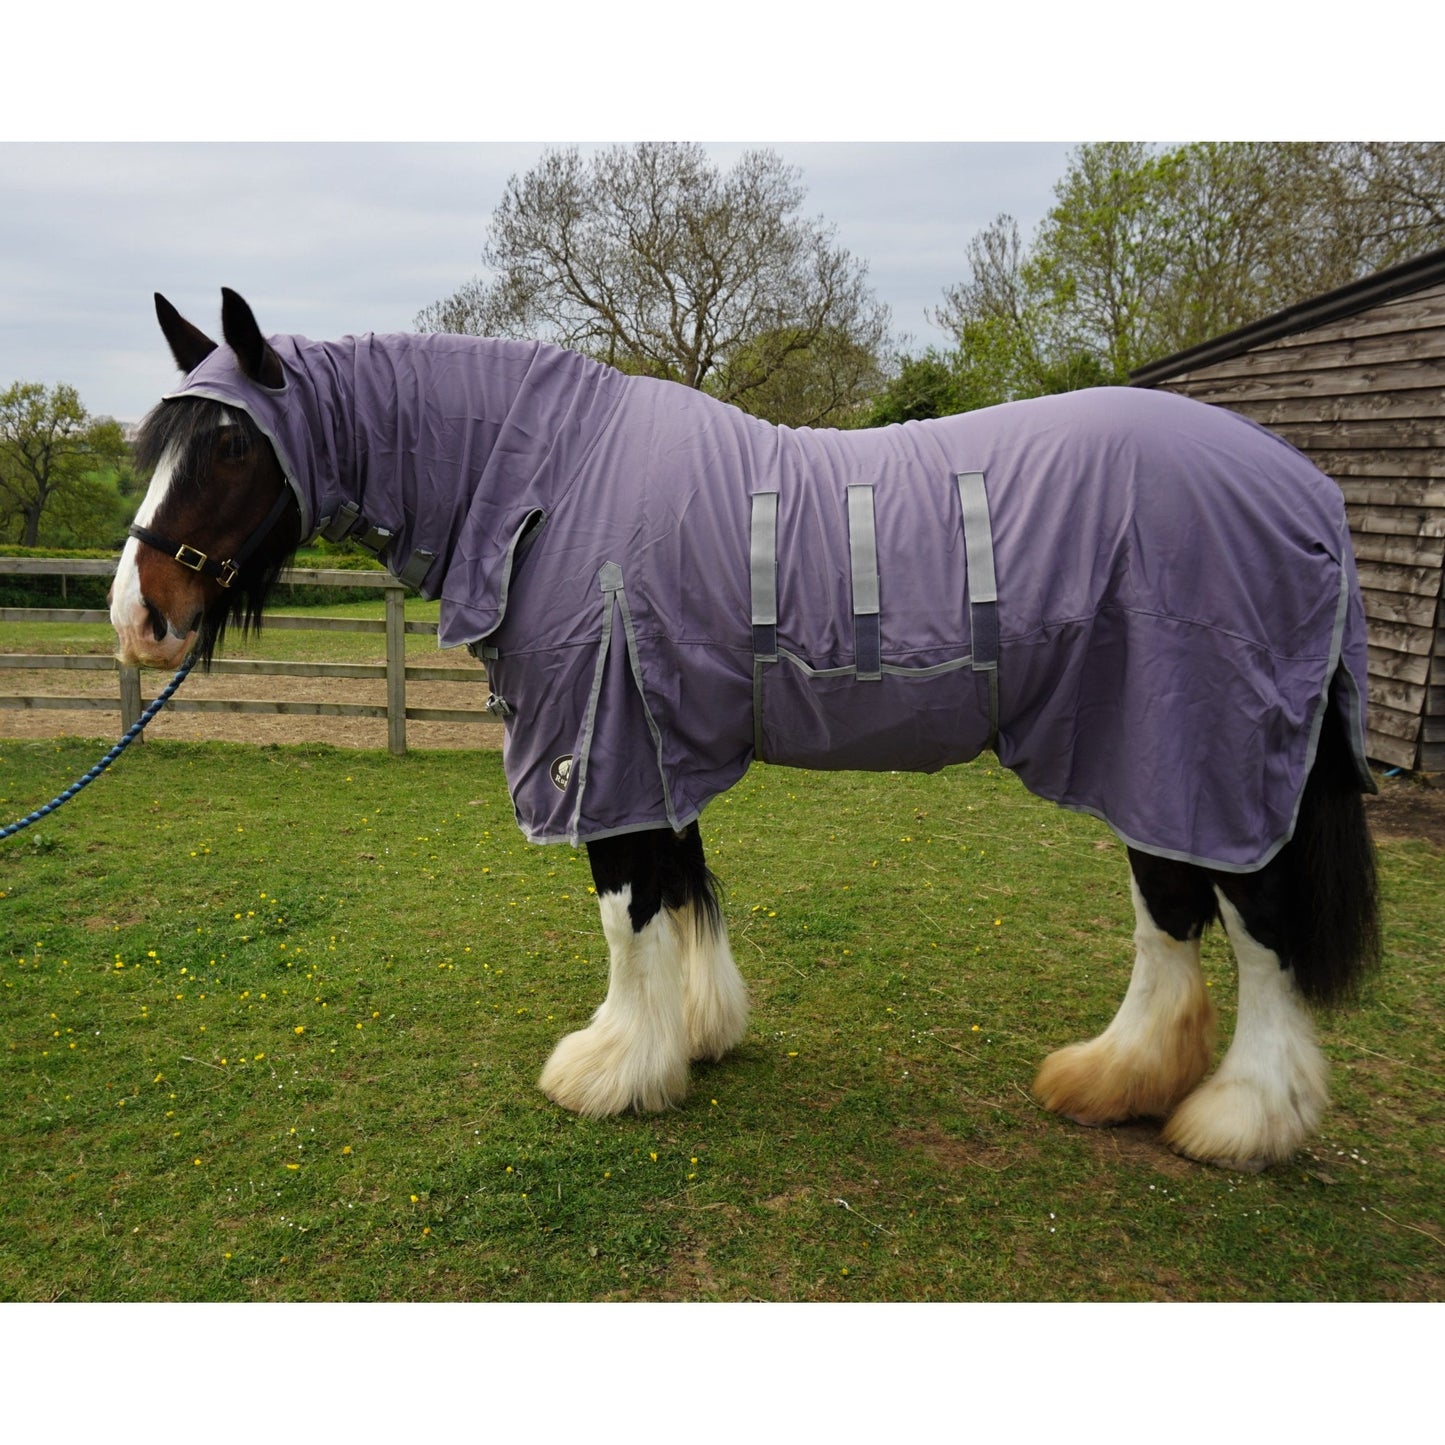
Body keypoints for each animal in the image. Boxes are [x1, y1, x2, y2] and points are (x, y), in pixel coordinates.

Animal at [111, 288, 1380, 1173]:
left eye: (232, 444)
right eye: (154, 444)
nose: (139, 619)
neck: (548, 478)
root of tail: (1306, 493)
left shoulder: (604, 738)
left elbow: (627, 906)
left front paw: (613, 1067)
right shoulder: (651, 735)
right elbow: (682, 884)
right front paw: (694, 1034)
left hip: (1208, 752)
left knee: (1255, 927)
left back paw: (1240, 1119)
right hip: (1146, 756)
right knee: (1167, 910)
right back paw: (1114, 1078)